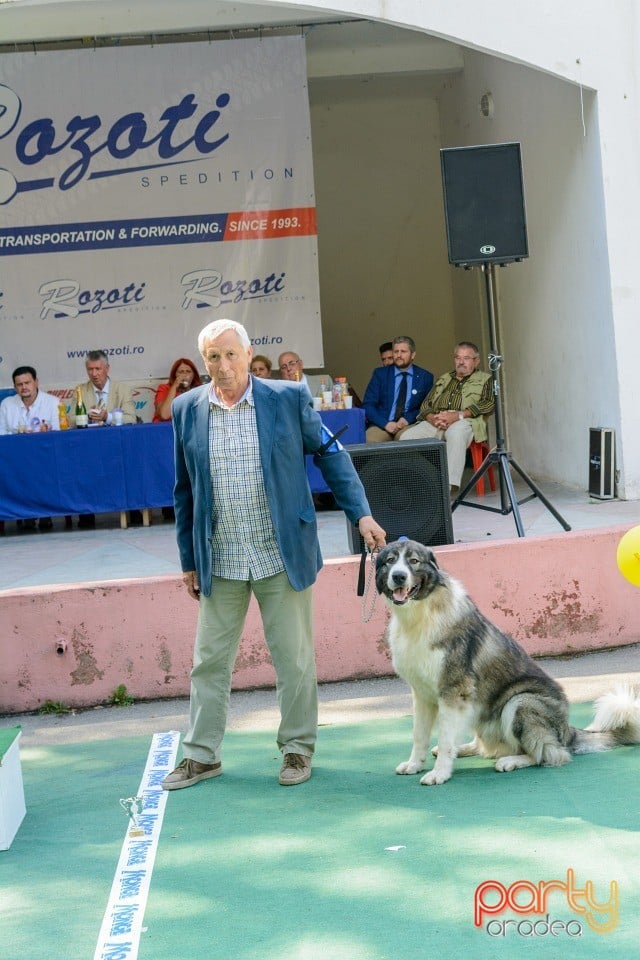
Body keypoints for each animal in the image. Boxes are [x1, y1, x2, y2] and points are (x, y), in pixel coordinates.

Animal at [376, 536, 640, 784]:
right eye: (390, 561)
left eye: (413, 561)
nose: (398, 576)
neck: (420, 615)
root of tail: (567, 730)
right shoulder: (422, 694)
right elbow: (419, 735)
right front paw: (414, 765)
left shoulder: (453, 693)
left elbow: (445, 737)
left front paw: (439, 773)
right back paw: (466, 749)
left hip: (520, 702)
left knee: (551, 754)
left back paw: (511, 761)